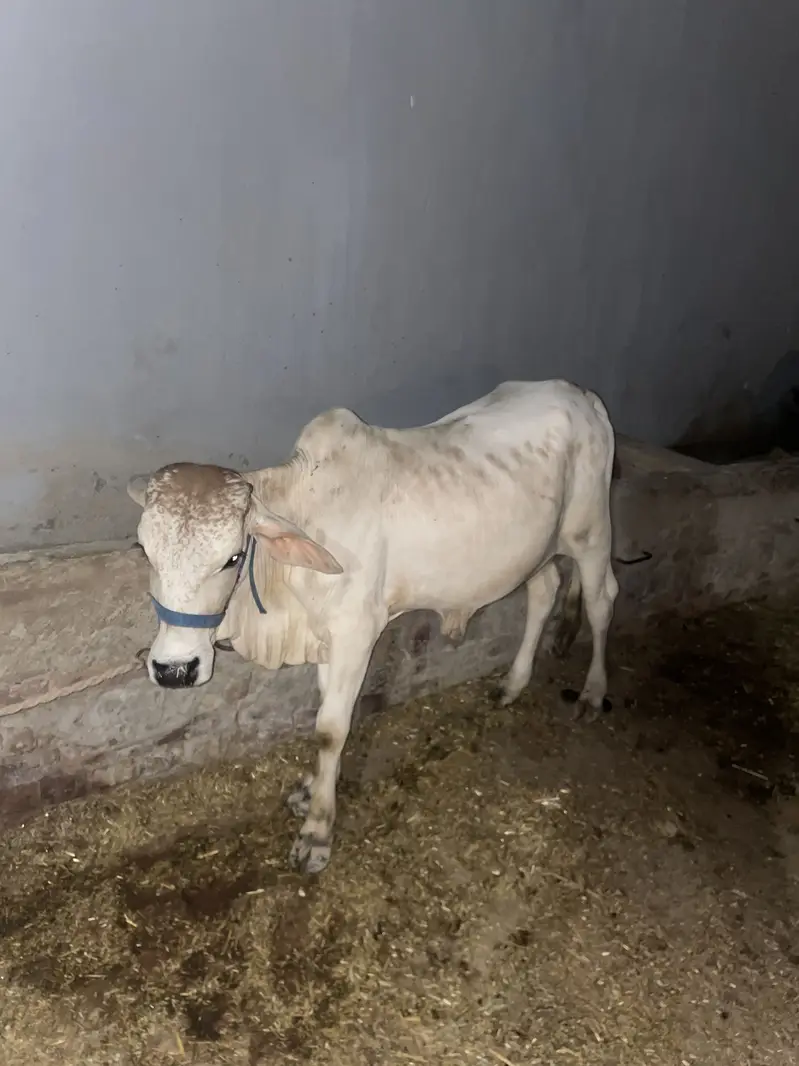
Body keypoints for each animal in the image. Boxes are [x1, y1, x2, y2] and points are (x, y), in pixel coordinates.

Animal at [127, 379, 619, 874]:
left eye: (232, 557)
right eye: (144, 550)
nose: (175, 669)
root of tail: (579, 392)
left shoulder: (355, 633)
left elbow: (331, 728)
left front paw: (317, 832)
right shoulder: (326, 639)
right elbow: (325, 711)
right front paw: (311, 790)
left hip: (591, 534)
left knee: (602, 600)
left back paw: (593, 692)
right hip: (535, 549)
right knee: (544, 592)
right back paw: (513, 684)